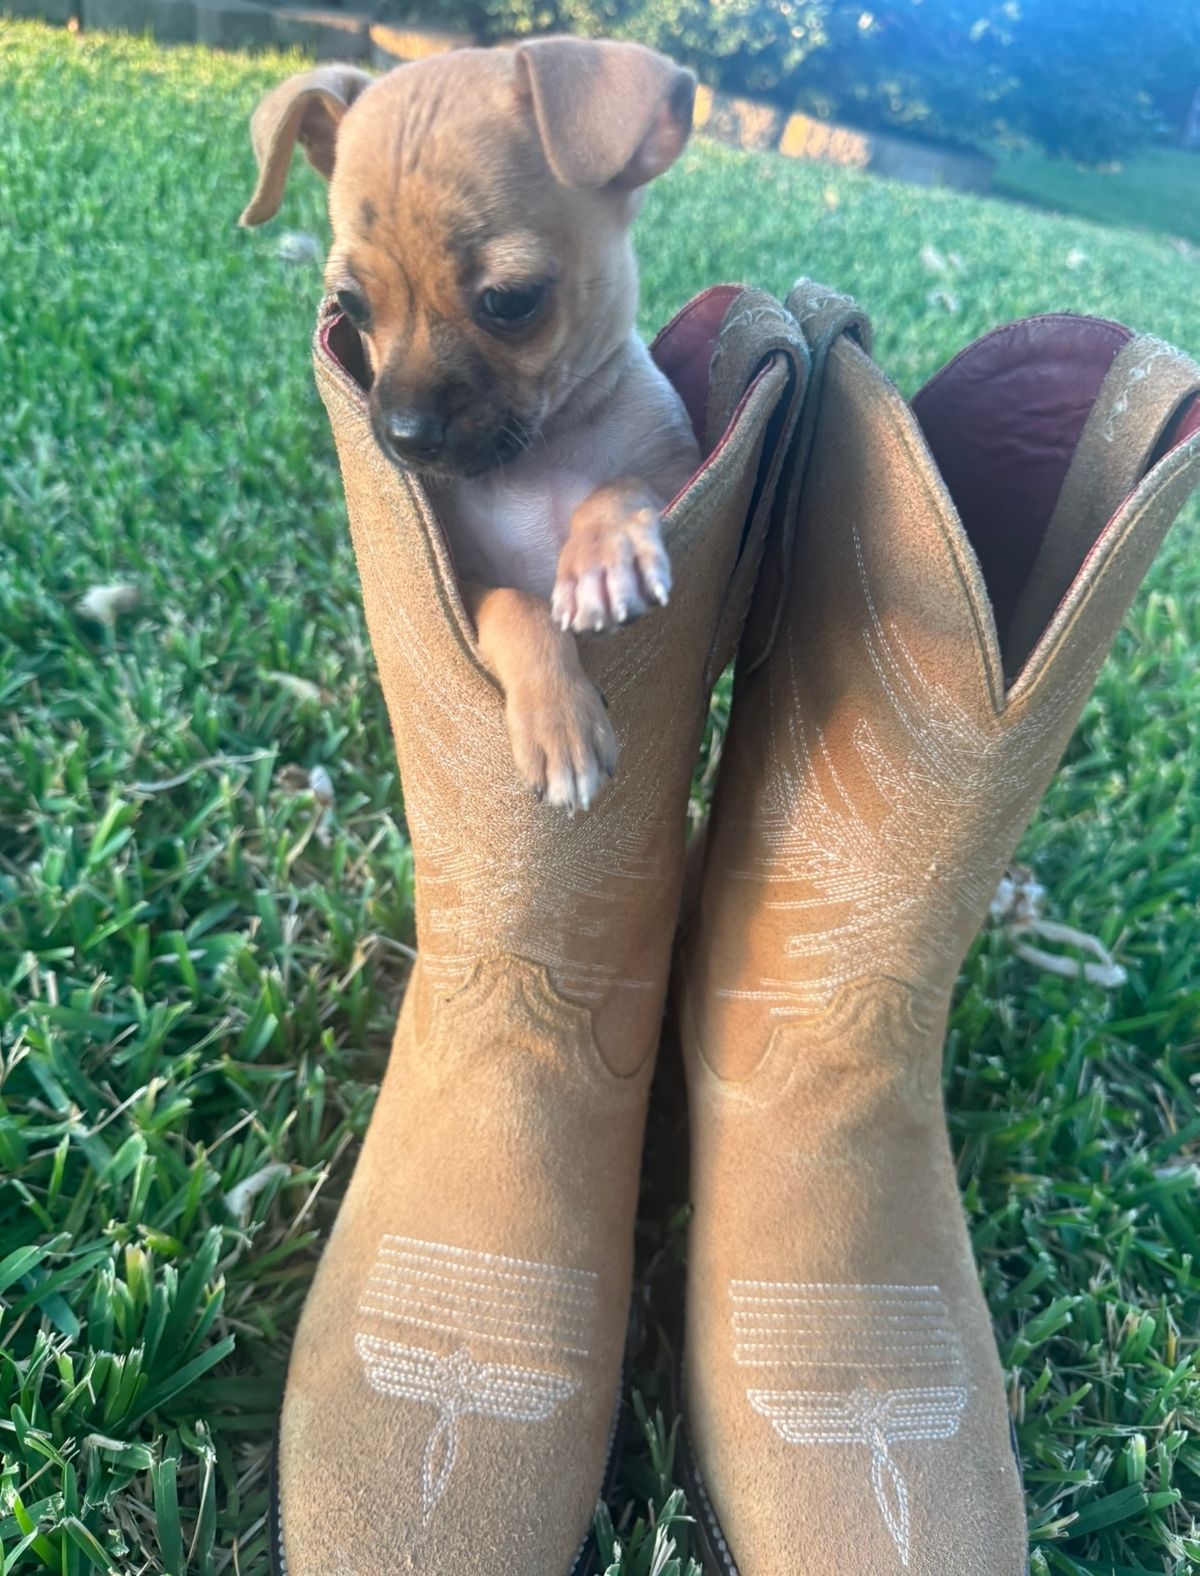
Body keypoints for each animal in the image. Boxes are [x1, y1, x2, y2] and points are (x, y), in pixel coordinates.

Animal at [239, 37, 703, 813]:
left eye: (510, 301)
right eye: (351, 307)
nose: (404, 435)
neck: (537, 459)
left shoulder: (678, 473)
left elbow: (620, 486)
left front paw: (603, 558)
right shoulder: (466, 588)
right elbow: (520, 605)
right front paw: (559, 721)